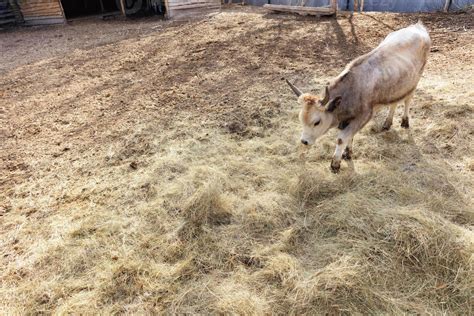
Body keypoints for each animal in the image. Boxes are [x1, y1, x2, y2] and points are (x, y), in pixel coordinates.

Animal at [286, 20, 432, 173]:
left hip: (414, 82)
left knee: (408, 100)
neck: (352, 90)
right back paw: (387, 123)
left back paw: (405, 121)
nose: (304, 141)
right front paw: (347, 153)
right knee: (394, 102)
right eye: (301, 119)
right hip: (397, 87)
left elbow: (342, 138)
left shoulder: (364, 116)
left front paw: (335, 164)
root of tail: (417, 27)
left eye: (317, 122)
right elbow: (349, 137)